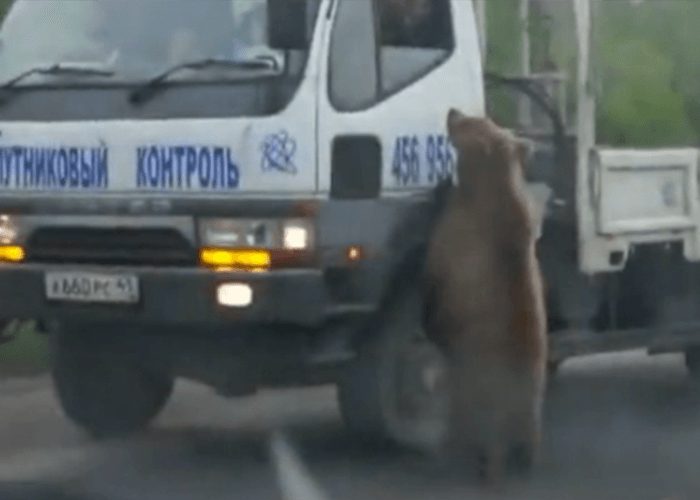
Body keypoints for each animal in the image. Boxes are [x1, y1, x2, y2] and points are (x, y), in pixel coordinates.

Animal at [424, 109, 548, 484]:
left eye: (473, 120)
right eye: (486, 117)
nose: (452, 111)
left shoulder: (456, 237)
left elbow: (434, 265)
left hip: (486, 385)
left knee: (481, 429)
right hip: (530, 399)